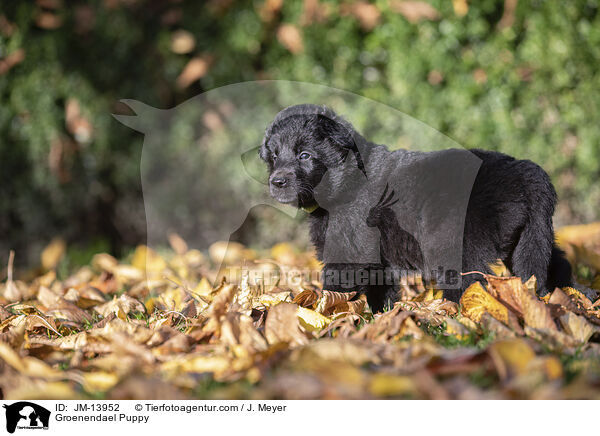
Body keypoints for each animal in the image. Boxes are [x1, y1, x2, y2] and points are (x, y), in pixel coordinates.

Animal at [258, 104, 572, 312]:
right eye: (273, 156)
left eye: (305, 155)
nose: (277, 182)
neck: (347, 181)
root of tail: (527, 173)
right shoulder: (378, 259)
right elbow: (381, 289)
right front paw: (381, 317)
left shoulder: (348, 250)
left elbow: (336, 286)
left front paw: (321, 316)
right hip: (529, 240)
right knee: (554, 266)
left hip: (457, 243)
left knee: (469, 284)